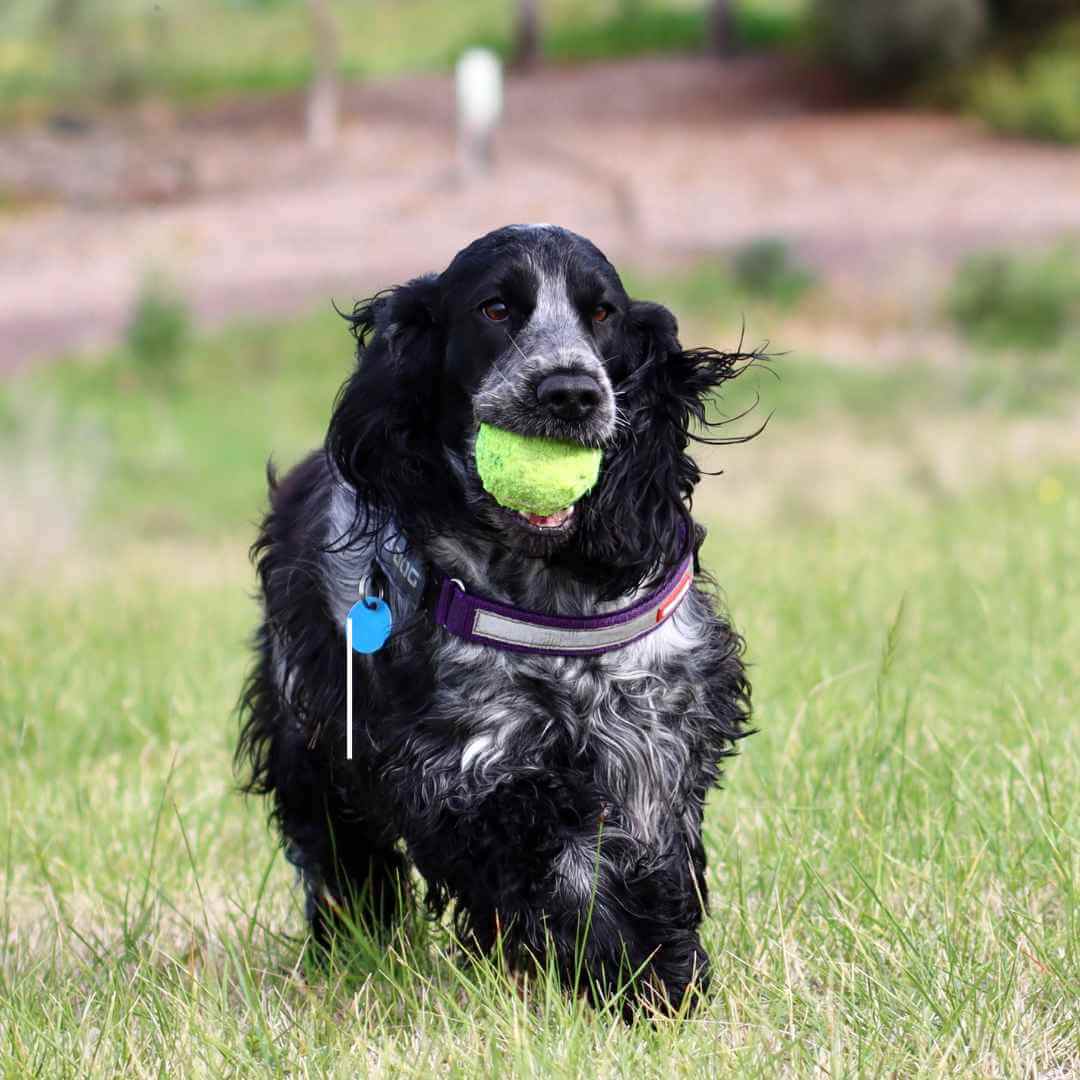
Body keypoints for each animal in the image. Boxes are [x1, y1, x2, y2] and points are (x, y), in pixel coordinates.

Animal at [237, 223, 760, 1015]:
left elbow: (646, 859)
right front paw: (634, 974)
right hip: (312, 739)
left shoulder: (653, 737)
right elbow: (568, 864)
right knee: (341, 861)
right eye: (494, 309)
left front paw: (662, 978)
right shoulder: (470, 767)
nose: (570, 391)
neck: (549, 594)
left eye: (601, 313)